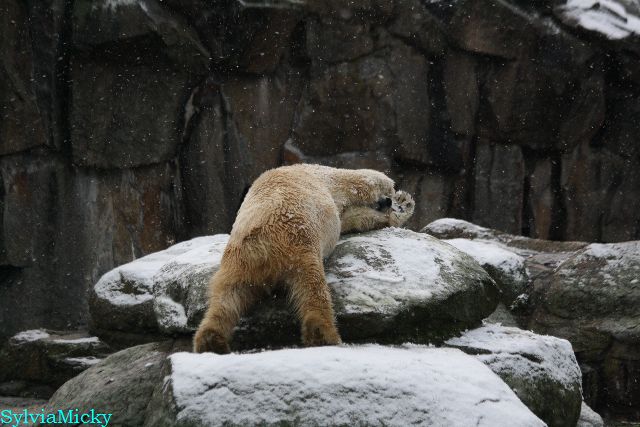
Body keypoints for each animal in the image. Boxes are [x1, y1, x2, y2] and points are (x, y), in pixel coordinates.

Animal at [193, 164, 415, 354]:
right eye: (390, 191)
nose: (388, 201)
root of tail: (262, 246)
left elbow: (352, 220)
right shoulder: (337, 187)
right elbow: (361, 215)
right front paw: (404, 205)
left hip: (238, 262)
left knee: (226, 298)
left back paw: (210, 340)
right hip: (300, 247)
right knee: (313, 289)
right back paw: (326, 336)